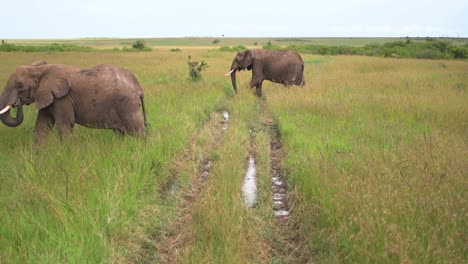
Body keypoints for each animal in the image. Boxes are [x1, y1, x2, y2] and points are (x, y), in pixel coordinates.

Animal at [0, 61, 148, 144]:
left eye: (19, 85)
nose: (17, 104)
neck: (39, 70)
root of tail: (138, 87)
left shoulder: (63, 98)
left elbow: (64, 125)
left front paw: (67, 155)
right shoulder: (47, 96)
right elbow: (42, 127)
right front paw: (36, 158)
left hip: (127, 105)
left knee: (138, 131)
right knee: (119, 132)